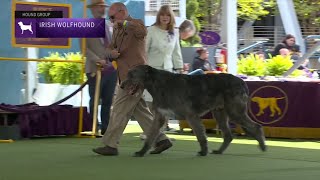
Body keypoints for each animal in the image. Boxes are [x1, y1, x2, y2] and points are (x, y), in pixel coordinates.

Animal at [120, 64, 264, 156]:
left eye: (131, 75)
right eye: (128, 74)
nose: (121, 86)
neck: (158, 84)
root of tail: (242, 82)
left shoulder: (191, 115)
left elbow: (200, 135)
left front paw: (203, 151)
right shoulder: (160, 116)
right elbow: (151, 135)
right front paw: (141, 152)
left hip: (235, 112)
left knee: (256, 126)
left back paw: (262, 146)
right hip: (219, 112)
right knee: (228, 135)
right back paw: (219, 151)